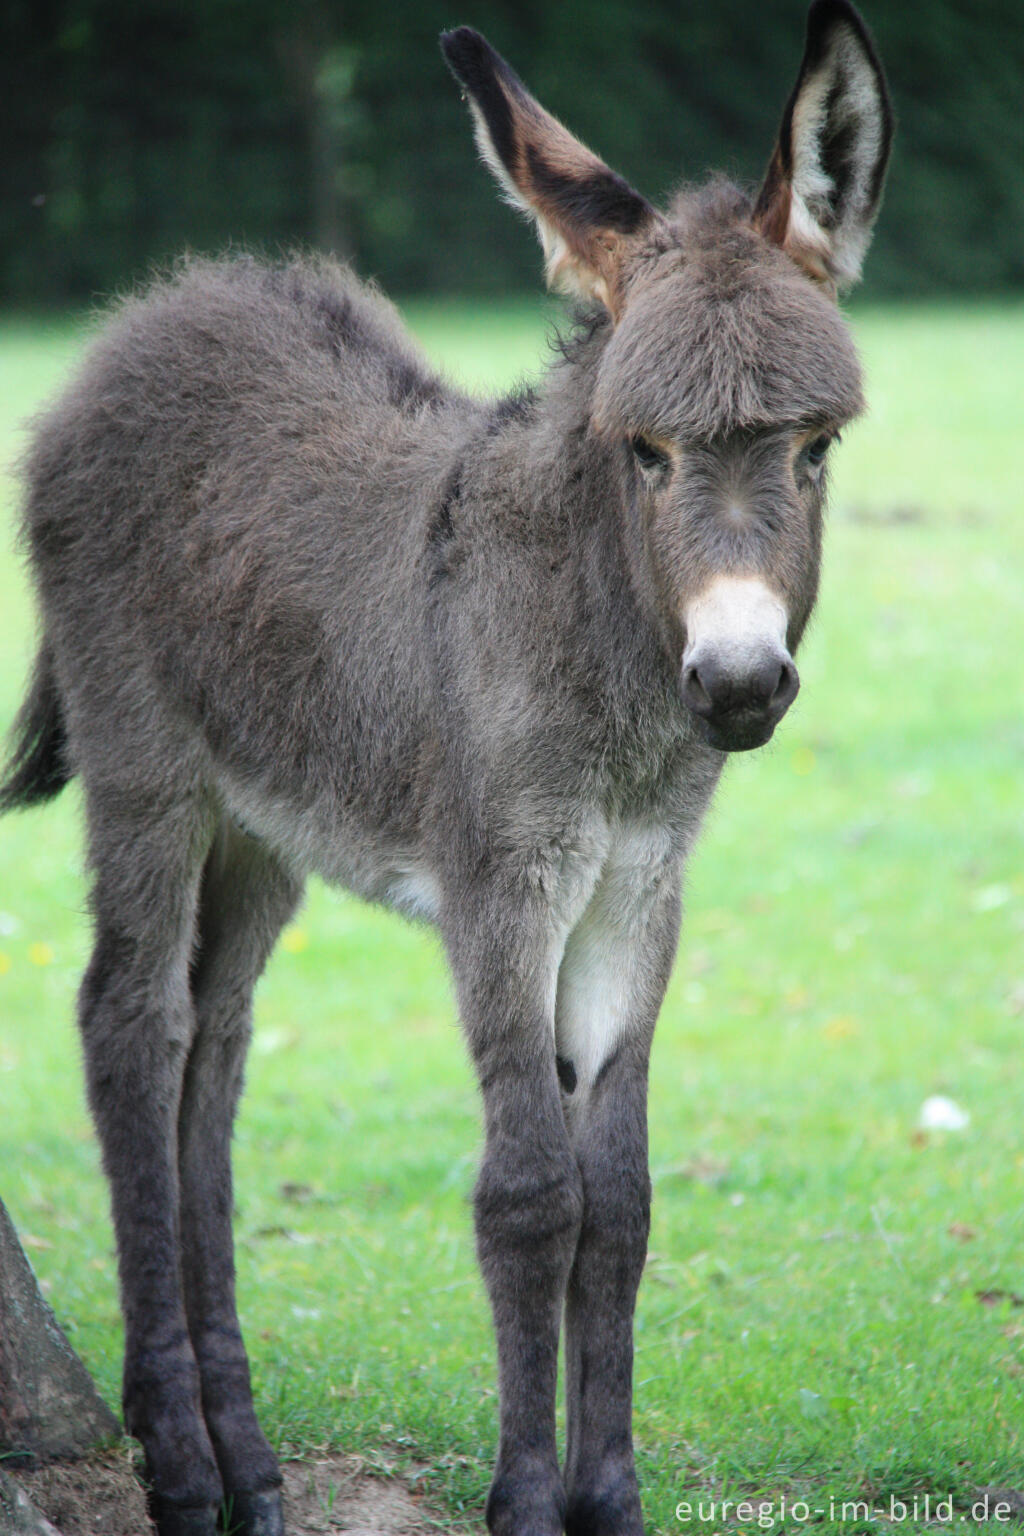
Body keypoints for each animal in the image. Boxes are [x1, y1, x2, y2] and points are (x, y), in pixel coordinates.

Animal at [0, 3, 890, 1536]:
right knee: (131, 1027)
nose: (735, 684)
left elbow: (621, 1199)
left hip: (264, 825)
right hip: (149, 773)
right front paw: (527, 1500)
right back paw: (179, 1452)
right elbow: (529, 1192)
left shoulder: (636, 893)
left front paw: (609, 1499)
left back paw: (245, 1455)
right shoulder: (501, 887)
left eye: (815, 446)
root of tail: (155, 315)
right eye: (645, 453)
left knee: (214, 1049)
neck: (600, 656)